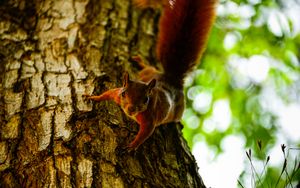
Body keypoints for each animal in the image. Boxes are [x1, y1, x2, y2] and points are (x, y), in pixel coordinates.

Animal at [85, 0, 217, 151]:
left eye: (146, 100)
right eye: (124, 94)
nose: (131, 109)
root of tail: (172, 79)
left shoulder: (150, 119)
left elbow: (145, 134)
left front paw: (132, 146)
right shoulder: (116, 94)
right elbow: (107, 93)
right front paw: (93, 98)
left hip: (179, 109)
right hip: (149, 72)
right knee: (149, 67)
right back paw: (139, 62)